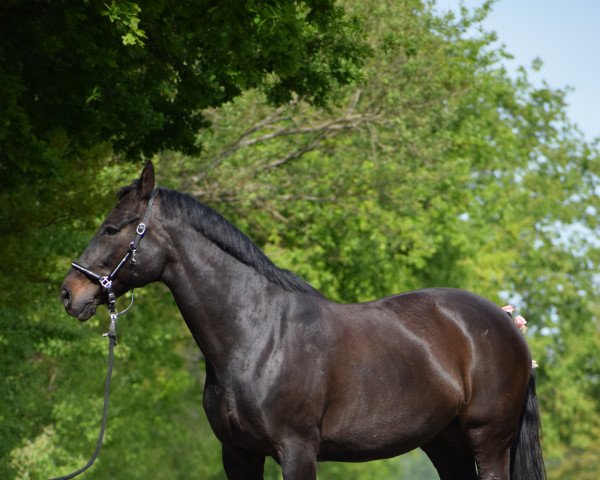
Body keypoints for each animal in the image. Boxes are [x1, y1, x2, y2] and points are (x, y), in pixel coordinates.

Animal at [59, 162, 544, 480]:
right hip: (446, 444)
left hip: (488, 442)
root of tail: (508, 325)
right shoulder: (238, 454)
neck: (257, 338)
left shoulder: (297, 451)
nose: (69, 293)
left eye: (112, 228)